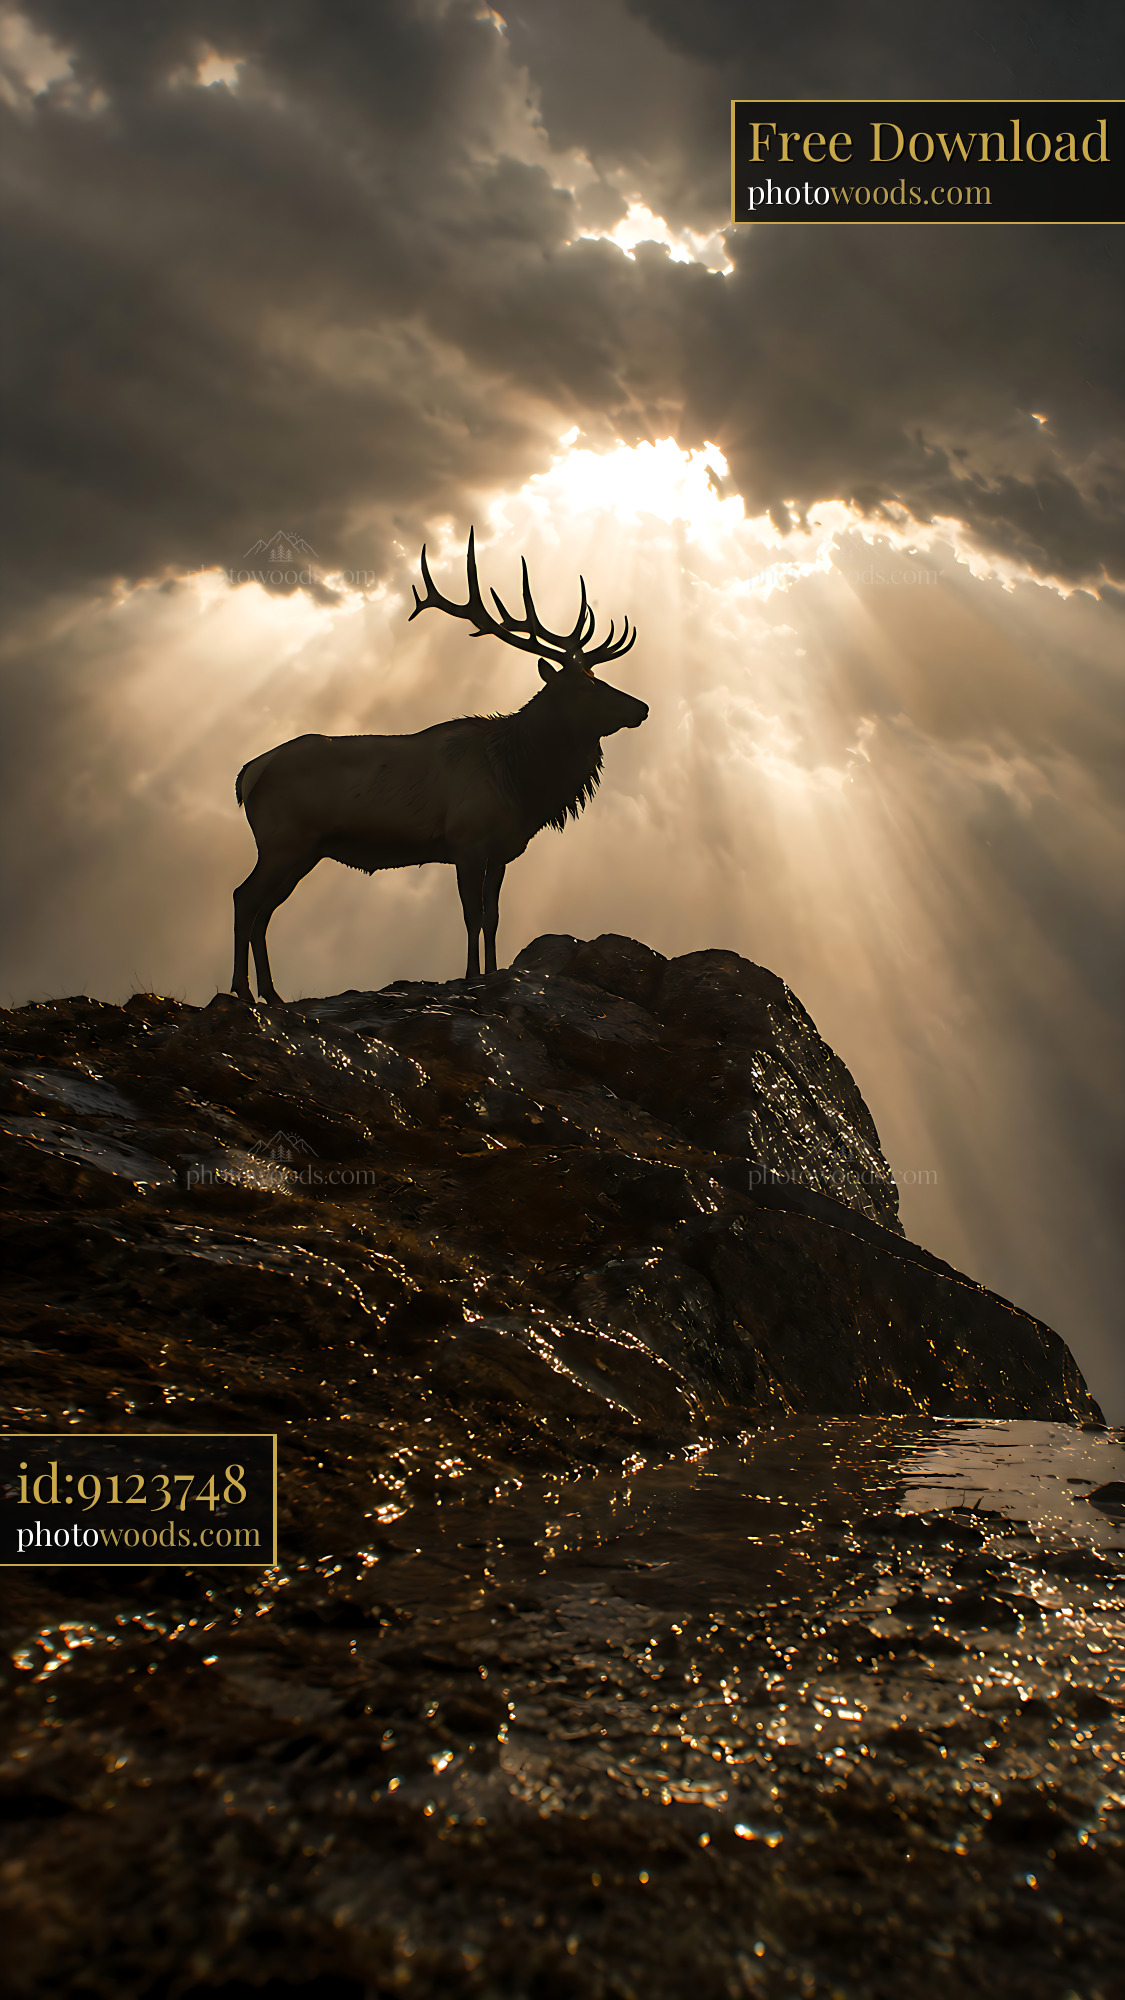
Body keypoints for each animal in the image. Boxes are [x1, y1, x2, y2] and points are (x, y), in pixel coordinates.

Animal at [230, 531, 647, 1001]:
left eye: (598, 679)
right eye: (584, 687)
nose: (642, 707)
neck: (520, 784)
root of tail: (248, 774)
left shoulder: (501, 850)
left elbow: (493, 916)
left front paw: (492, 972)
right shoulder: (466, 840)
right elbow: (470, 915)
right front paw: (470, 976)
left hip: (304, 850)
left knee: (264, 910)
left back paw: (272, 994)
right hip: (283, 840)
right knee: (244, 898)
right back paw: (242, 990)